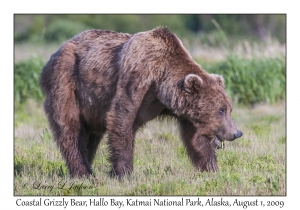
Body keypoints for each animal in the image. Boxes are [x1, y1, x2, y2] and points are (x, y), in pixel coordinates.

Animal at [39, 26, 243, 177]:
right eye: (221, 110)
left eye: (229, 108)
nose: (236, 133)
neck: (161, 86)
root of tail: (56, 51)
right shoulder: (136, 78)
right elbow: (121, 119)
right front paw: (124, 173)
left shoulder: (184, 110)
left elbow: (196, 138)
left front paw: (212, 169)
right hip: (67, 80)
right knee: (70, 128)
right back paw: (82, 172)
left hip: (92, 105)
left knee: (92, 134)